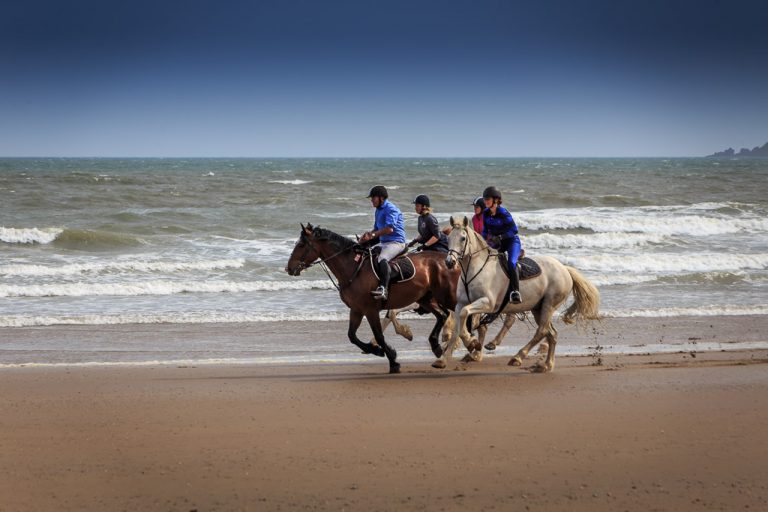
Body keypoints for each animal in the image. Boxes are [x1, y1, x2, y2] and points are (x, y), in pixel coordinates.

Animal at [285, 223, 459, 373]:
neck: (353, 269)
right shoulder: (356, 310)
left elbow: (379, 335)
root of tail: (450, 260)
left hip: (447, 297)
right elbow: (352, 336)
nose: (289, 268)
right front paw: (375, 350)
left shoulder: (370, 310)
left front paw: (393, 360)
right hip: (426, 298)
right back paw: (437, 347)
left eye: (301, 245)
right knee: (443, 316)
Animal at [438, 216, 601, 372]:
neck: (474, 269)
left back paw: (518, 357)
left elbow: (465, 316)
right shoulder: (461, 304)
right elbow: (458, 327)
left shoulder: (487, 303)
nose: (450, 262)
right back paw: (546, 365)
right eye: (449, 238)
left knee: (542, 331)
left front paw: (472, 343)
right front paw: (443, 359)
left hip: (549, 304)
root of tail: (565, 269)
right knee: (551, 333)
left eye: (462, 238)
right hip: (538, 308)